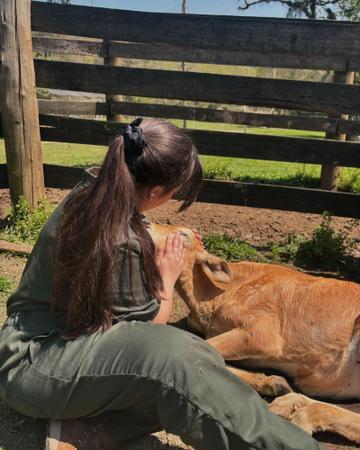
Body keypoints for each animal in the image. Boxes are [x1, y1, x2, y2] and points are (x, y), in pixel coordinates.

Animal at [148, 223, 360, 442]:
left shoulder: (263, 335)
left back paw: (303, 417)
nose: (147, 222)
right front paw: (274, 382)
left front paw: (273, 382)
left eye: (183, 234)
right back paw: (289, 403)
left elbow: (204, 349)